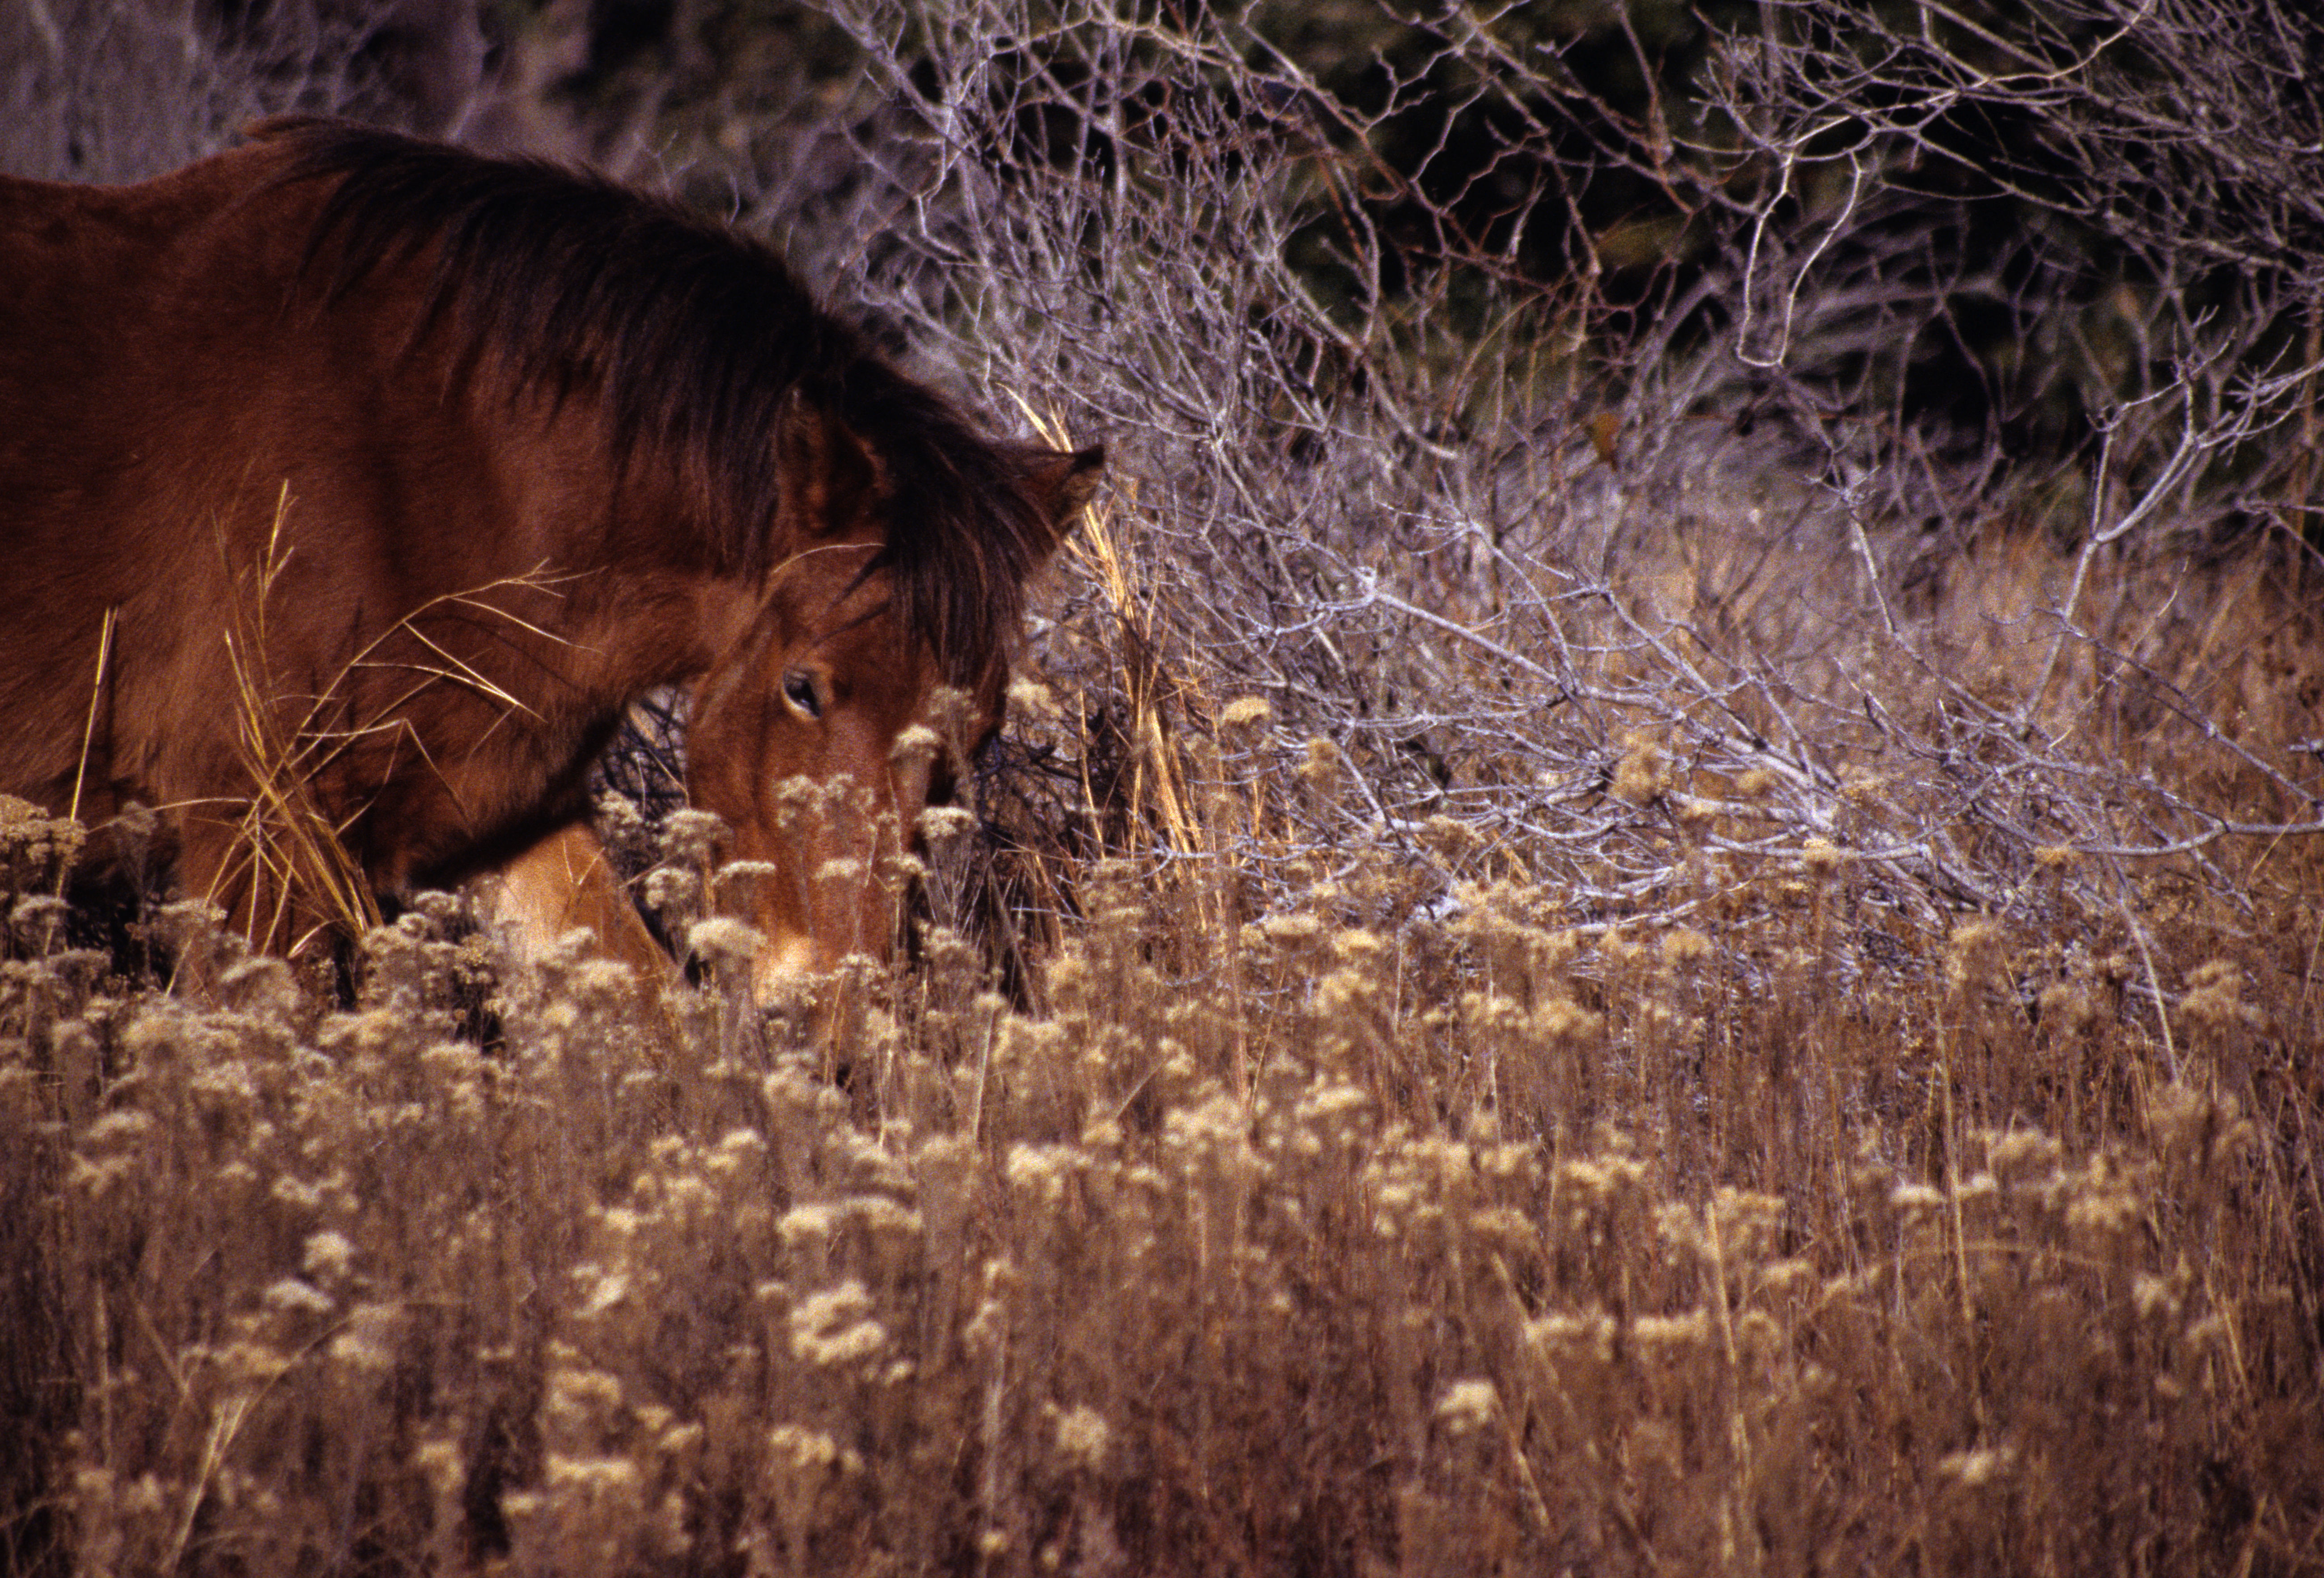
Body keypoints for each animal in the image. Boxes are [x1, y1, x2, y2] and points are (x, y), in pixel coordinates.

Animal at [0, 117, 1106, 999]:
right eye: (804, 689)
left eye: (980, 732)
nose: (835, 1012)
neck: (438, 452)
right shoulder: (254, 835)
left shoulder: (501, 817)